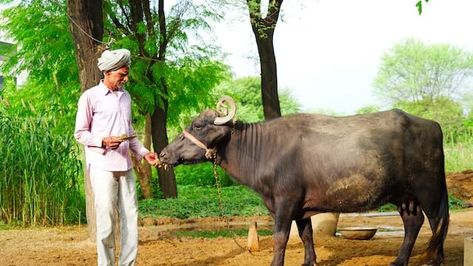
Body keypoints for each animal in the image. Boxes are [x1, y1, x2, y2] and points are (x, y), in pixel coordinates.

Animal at [159, 96, 446, 264]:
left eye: (198, 126)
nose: (162, 154)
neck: (264, 149)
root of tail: (433, 125)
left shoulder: (285, 202)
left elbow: (280, 238)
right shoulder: (301, 208)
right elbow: (306, 235)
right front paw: (310, 261)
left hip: (429, 191)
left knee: (438, 223)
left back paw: (434, 259)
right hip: (405, 196)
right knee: (413, 223)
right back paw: (399, 261)